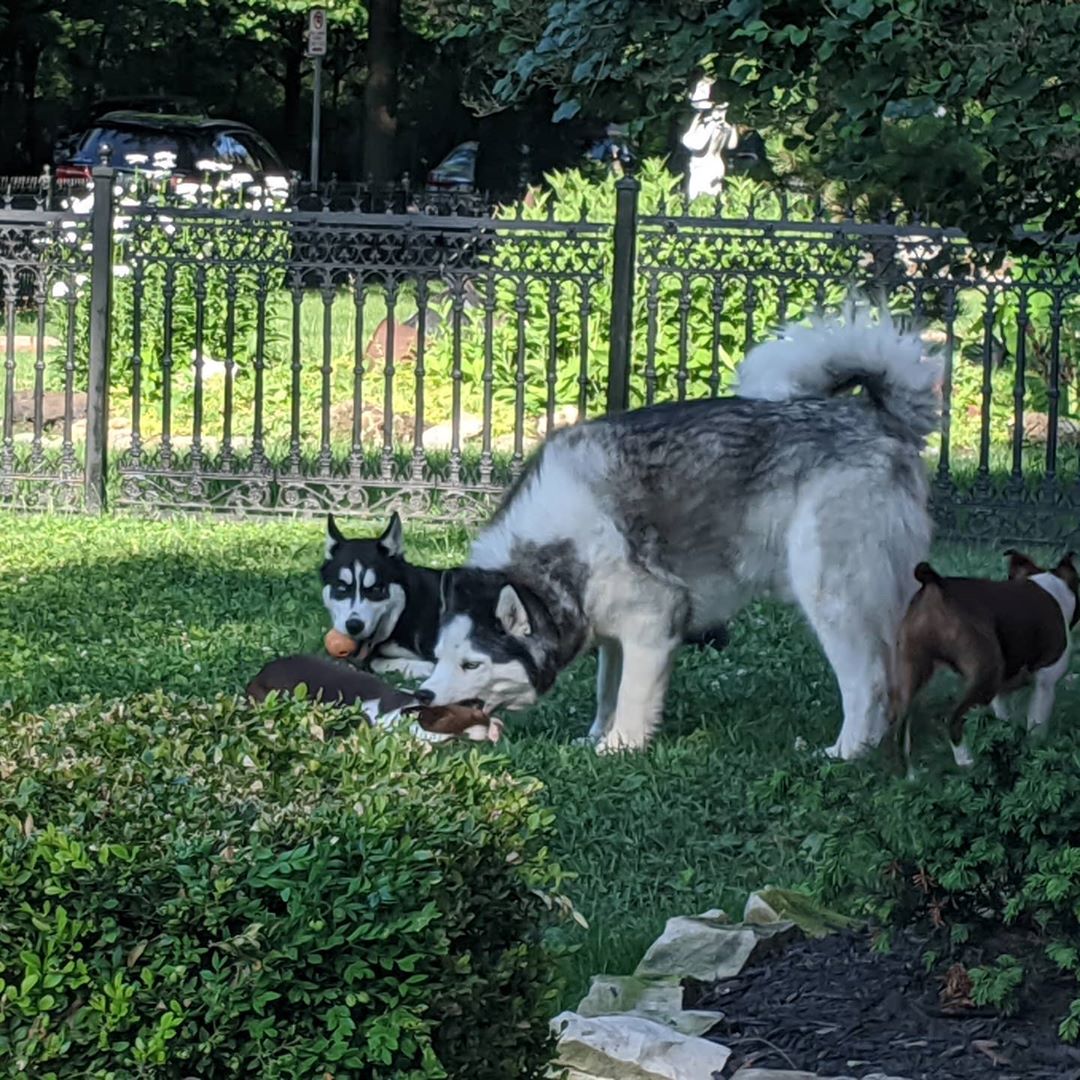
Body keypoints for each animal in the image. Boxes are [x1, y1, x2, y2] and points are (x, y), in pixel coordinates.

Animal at [889, 548, 1075, 768]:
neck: (1052, 586)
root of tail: (936, 584)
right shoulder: (1045, 684)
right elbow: (1037, 723)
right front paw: (1036, 750)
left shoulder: (1002, 691)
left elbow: (1005, 717)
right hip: (986, 676)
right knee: (954, 719)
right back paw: (965, 761)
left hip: (911, 671)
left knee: (901, 725)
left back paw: (908, 771)